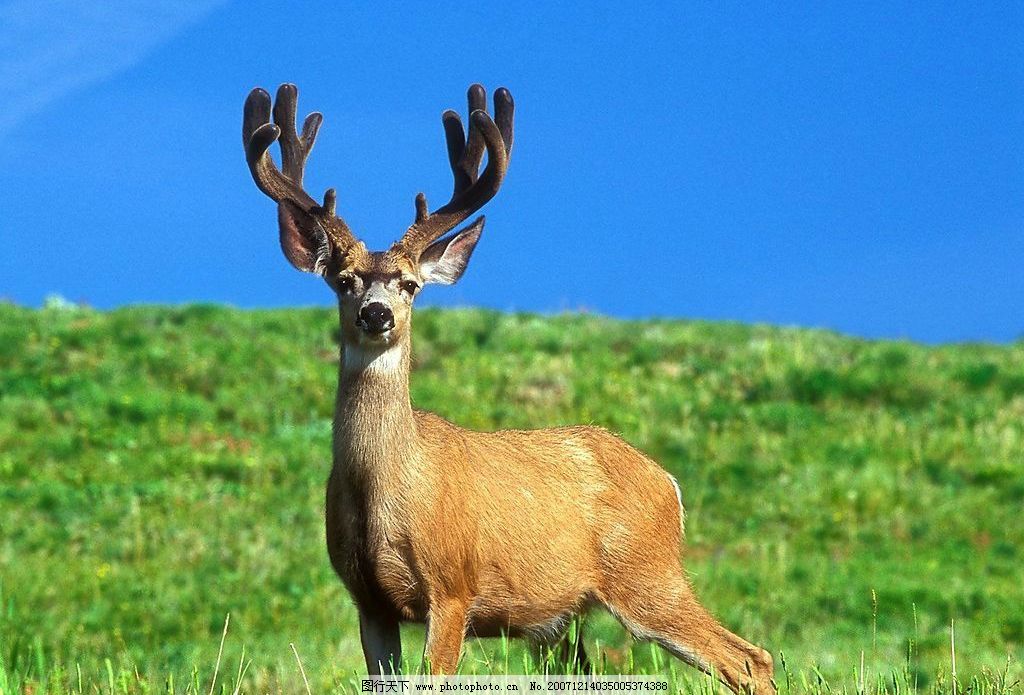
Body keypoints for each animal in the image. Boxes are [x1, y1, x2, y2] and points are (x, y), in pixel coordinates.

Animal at [239, 80, 774, 691]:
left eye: (411, 284)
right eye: (343, 281)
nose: (376, 314)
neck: (385, 487)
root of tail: (668, 483)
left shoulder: (453, 586)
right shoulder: (368, 600)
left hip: (646, 573)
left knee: (749, 657)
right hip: (561, 620)